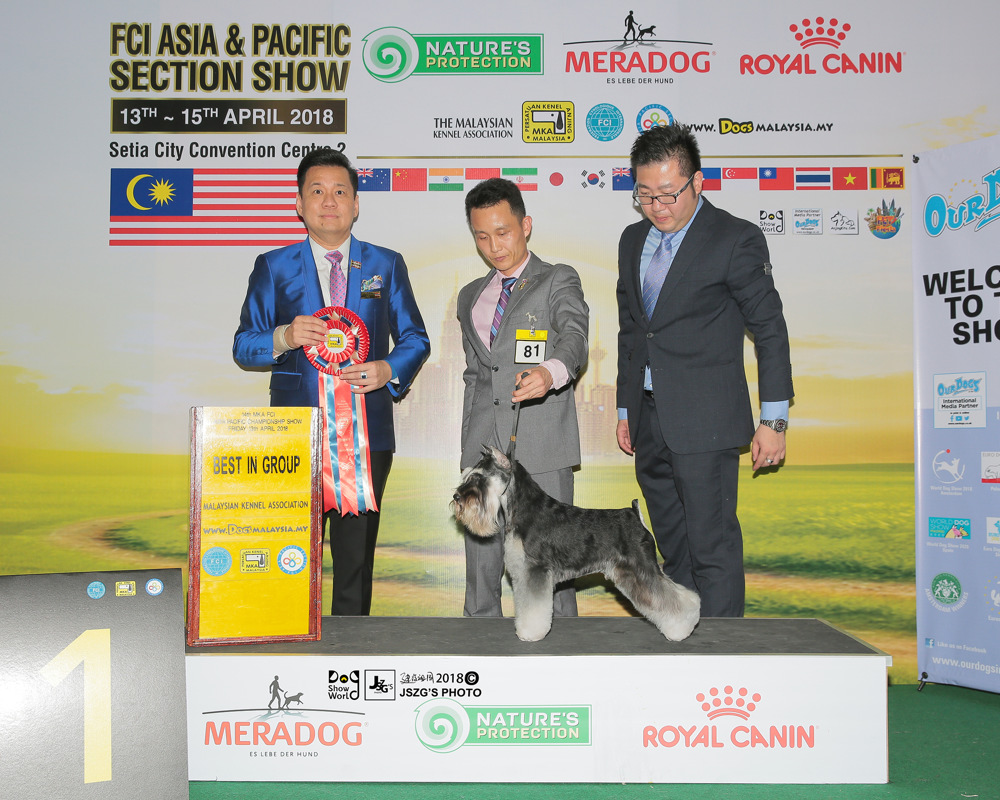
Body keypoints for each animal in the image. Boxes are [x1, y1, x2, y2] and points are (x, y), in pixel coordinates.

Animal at [451, 446, 700, 642]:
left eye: (478, 478)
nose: (457, 498)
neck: (523, 509)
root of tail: (634, 514)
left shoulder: (535, 571)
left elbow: (534, 607)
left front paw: (530, 633)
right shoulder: (524, 574)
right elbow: (524, 604)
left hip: (642, 568)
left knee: (675, 597)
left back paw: (682, 628)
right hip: (629, 574)